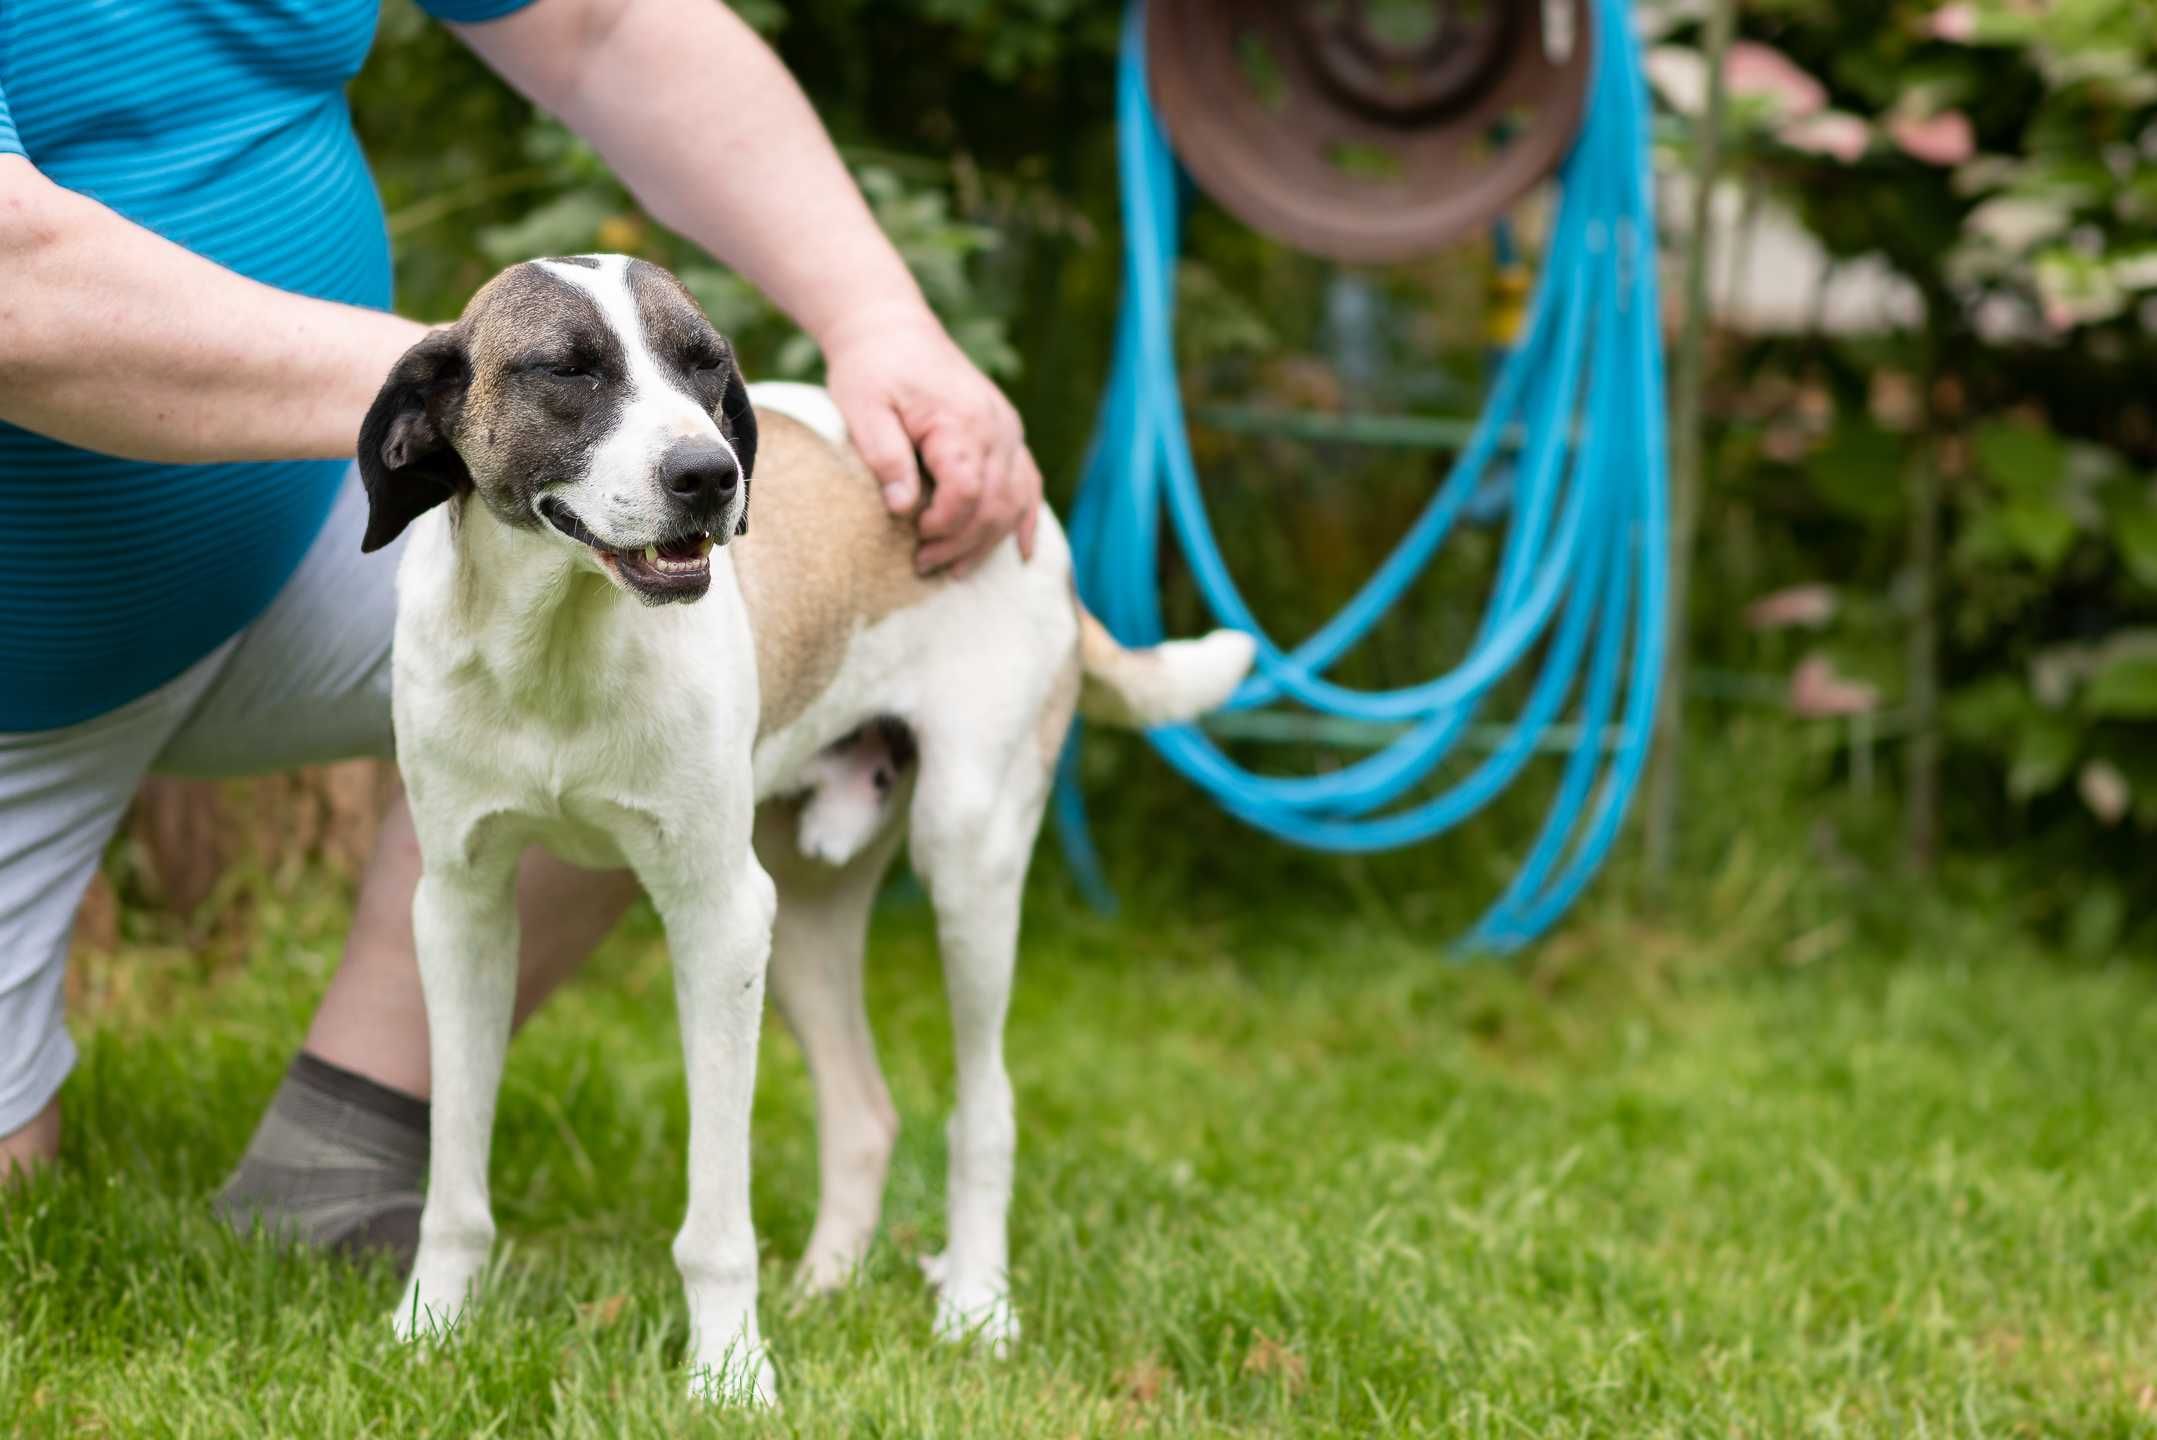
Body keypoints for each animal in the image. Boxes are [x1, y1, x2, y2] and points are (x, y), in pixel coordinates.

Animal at [362, 253, 1259, 1396]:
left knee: (986, 1107)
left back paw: (975, 1308)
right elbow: (455, 1182)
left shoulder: (716, 919)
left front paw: (729, 1377)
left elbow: (716, 1219)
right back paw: (828, 1285)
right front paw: (428, 1332)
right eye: (567, 369)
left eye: (705, 366)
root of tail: (1037, 523)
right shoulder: (462, 908)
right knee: (866, 1112)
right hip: (801, 921)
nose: (710, 476)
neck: (560, 644)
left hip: (962, 865)